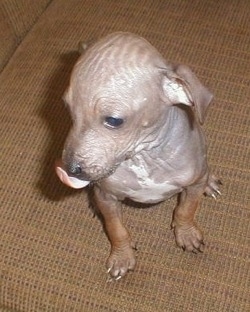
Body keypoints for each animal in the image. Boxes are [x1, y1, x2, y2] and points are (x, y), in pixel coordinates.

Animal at [55, 32, 221, 280]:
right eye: (68, 110)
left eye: (114, 121)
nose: (69, 169)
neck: (143, 157)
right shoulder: (107, 196)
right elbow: (116, 229)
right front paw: (122, 256)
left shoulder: (192, 185)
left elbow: (186, 210)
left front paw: (186, 233)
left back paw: (209, 182)